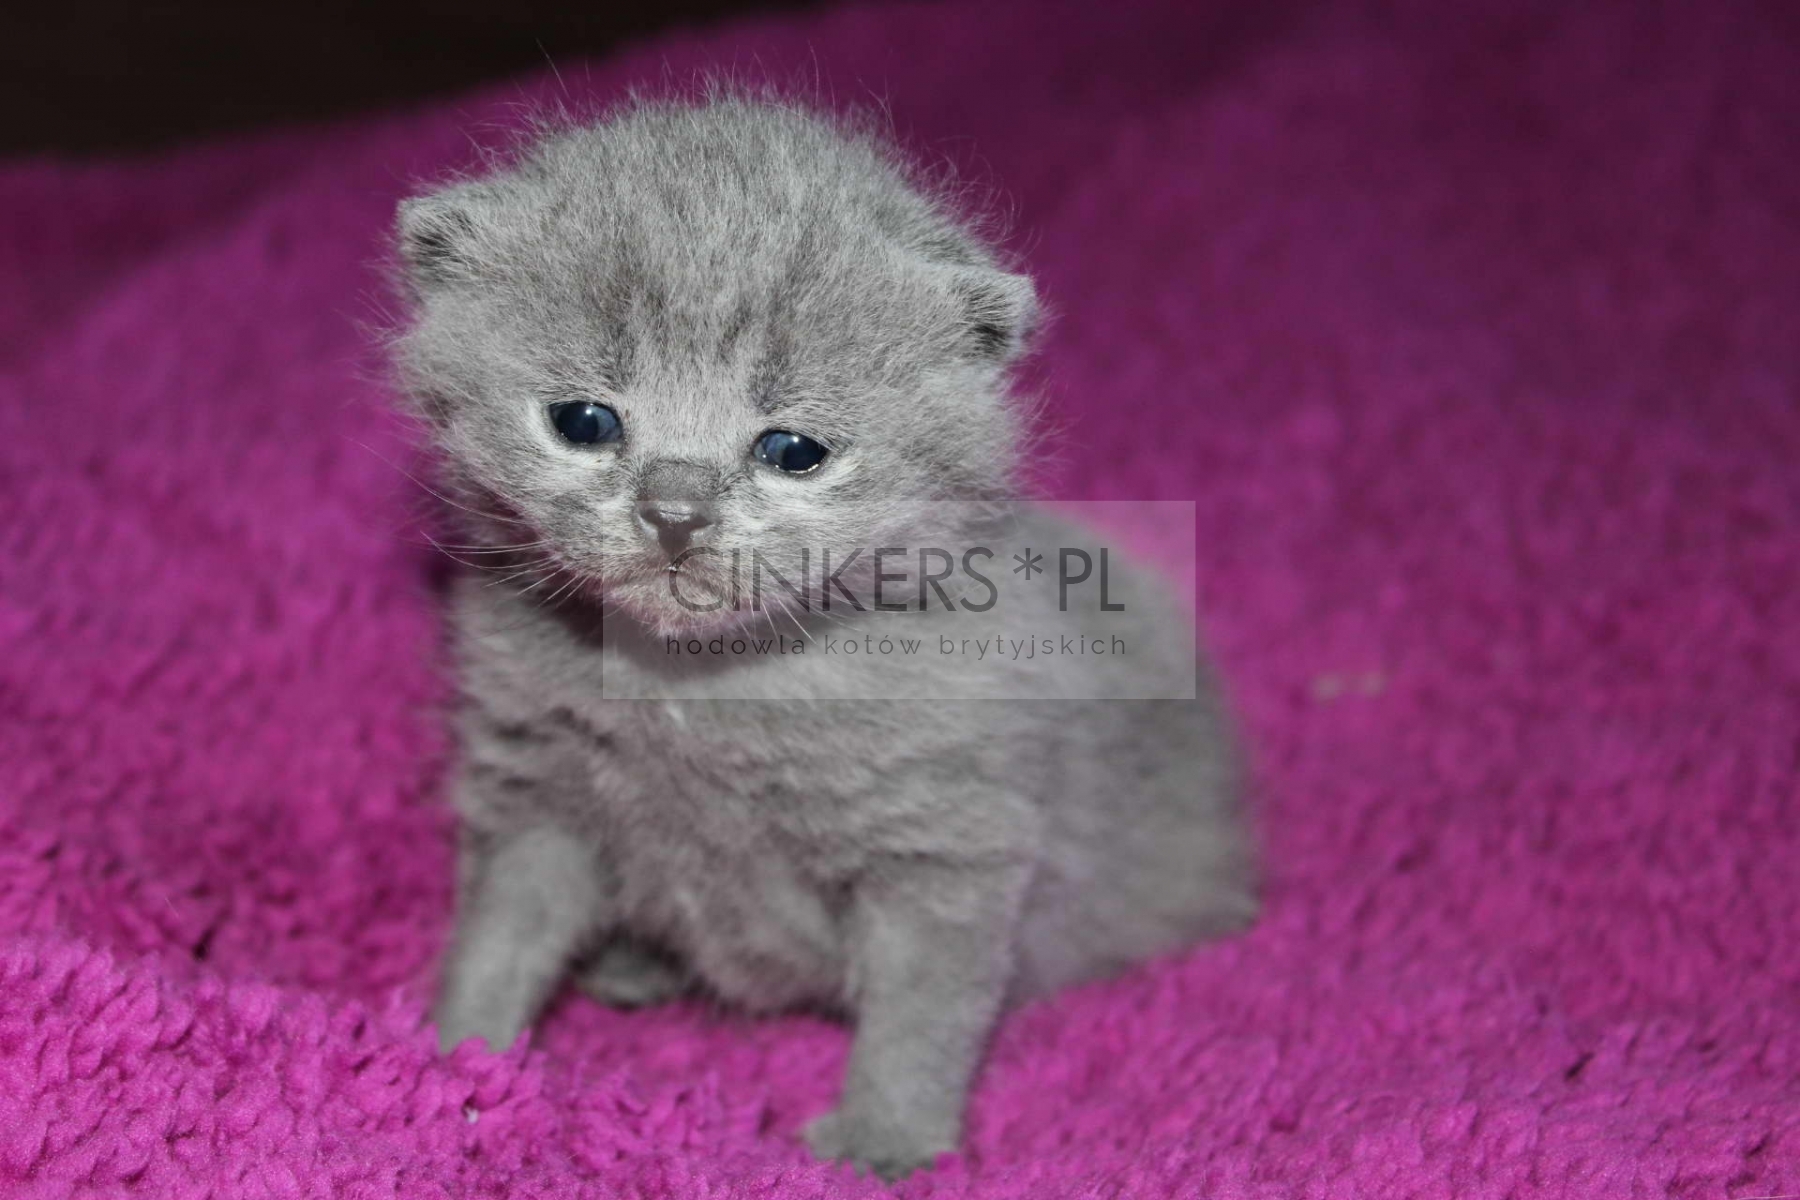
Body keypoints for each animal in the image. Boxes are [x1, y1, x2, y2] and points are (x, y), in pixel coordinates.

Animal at [390, 93, 1257, 1180]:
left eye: (792, 450)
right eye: (583, 421)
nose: (675, 512)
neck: (696, 691)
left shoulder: (946, 843)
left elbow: (922, 1012)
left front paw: (881, 1146)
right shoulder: (533, 786)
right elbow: (499, 934)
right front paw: (457, 1061)